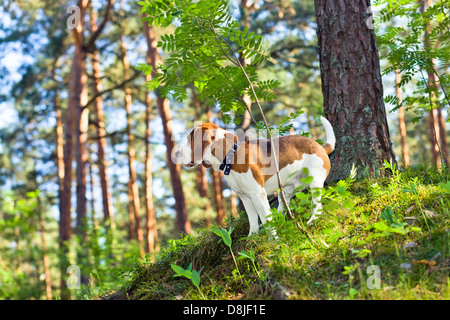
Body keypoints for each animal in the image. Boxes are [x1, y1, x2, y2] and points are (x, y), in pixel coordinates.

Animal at [175, 117, 334, 235]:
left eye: (189, 140)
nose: (176, 153)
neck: (231, 157)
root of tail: (320, 146)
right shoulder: (245, 197)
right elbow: (253, 221)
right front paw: (252, 237)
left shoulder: (258, 194)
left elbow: (265, 220)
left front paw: (273, 240)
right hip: (287, 190)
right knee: (282, 206)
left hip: (315, 182)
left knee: (318, 206)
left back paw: (311, 221)